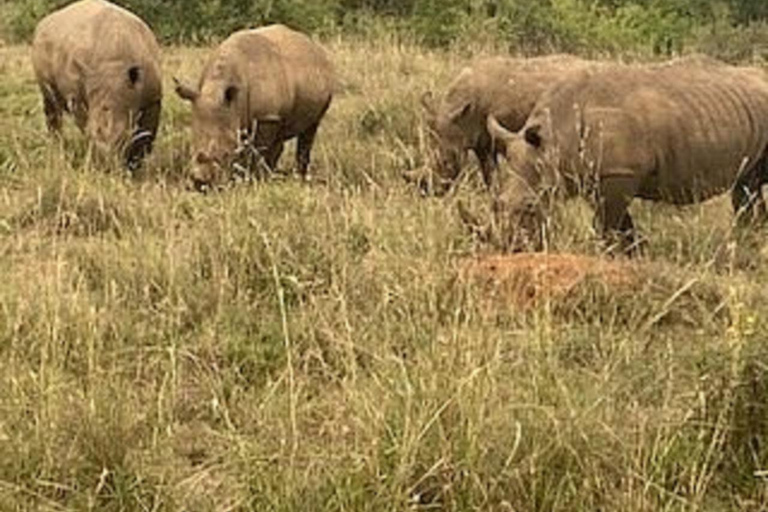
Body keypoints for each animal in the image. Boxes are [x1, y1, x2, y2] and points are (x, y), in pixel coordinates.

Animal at [31, 0, 164, 169]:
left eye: (126, 134)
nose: (107, 165)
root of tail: (44, 21)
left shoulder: (152, 97)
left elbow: (146, 134)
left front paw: (135, 165)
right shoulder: (78, 96)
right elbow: (84, 123)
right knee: (51, 102)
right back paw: (57, 149)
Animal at [177, 24, 336, 190]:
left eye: (226, 153)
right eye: (192, 145)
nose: (201, 183)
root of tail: (315, 47)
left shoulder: (265, 116)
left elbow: (259, 150)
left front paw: (253, 181)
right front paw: (241, 180)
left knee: (310, 129)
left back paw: (298, 178)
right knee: (280, 134)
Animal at [484, 62, 768, 254]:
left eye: (531, 208)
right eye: (495, 205)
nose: (510, 247)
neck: (555, 141)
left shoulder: (619, 171)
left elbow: (607, 223)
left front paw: (609, 254)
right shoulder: (596, 175)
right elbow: (621, 223)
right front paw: (636, 251)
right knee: (747, 185)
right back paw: (750, 240)